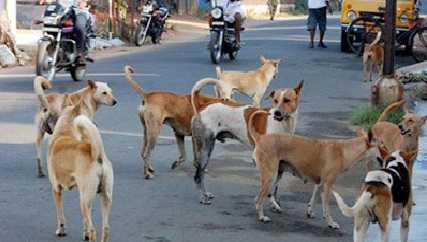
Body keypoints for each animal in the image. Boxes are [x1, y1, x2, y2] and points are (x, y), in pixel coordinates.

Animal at [47, 101, 113, 241]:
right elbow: (85, 222)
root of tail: (97, 154)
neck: (65, 131)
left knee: (94, 231)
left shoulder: (56, 189)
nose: (95, 123)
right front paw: (85, 234)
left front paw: (61, 231)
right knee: (105, 229)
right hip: (103, 198)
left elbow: (60, 215)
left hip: (84, 201)